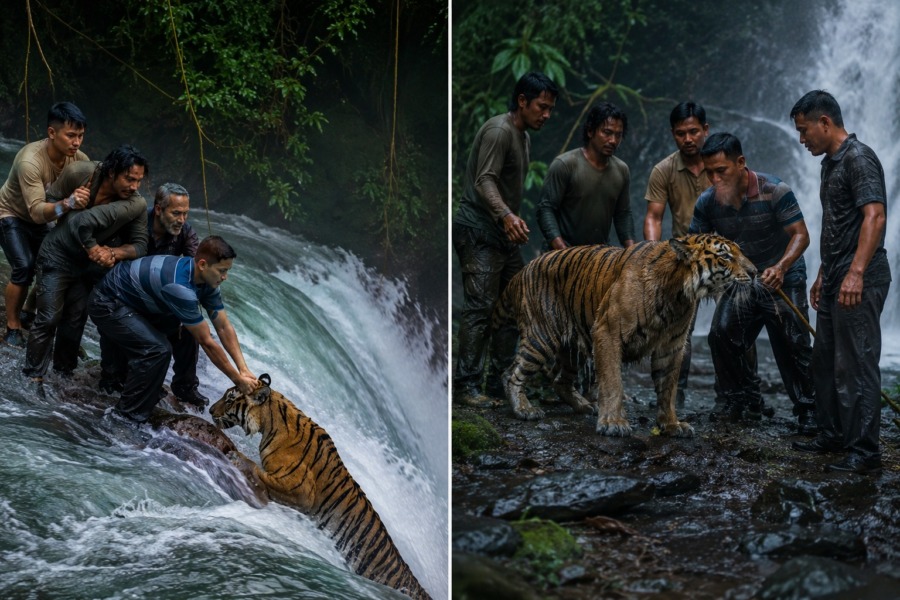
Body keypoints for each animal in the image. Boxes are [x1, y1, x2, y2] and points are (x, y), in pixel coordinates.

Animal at [210, 374, 431, 600]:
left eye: (230, 399)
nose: (210, 410)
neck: (270, 420)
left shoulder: (300, 490)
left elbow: (255, 469)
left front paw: (237, 458)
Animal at [492, 234, 756, 437]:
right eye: (725, 256)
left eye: (740, 252)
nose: (755, 272)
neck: (677, 294)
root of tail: (523, 270)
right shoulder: (607, 332)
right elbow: (612, 382)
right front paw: (613, 423)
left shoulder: (672, 345)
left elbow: (668, 388)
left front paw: (671, 424)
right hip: (542, 337)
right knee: (511, 373)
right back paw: (525, 410)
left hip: (572, 346)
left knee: (560, 380)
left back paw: (584, 406)